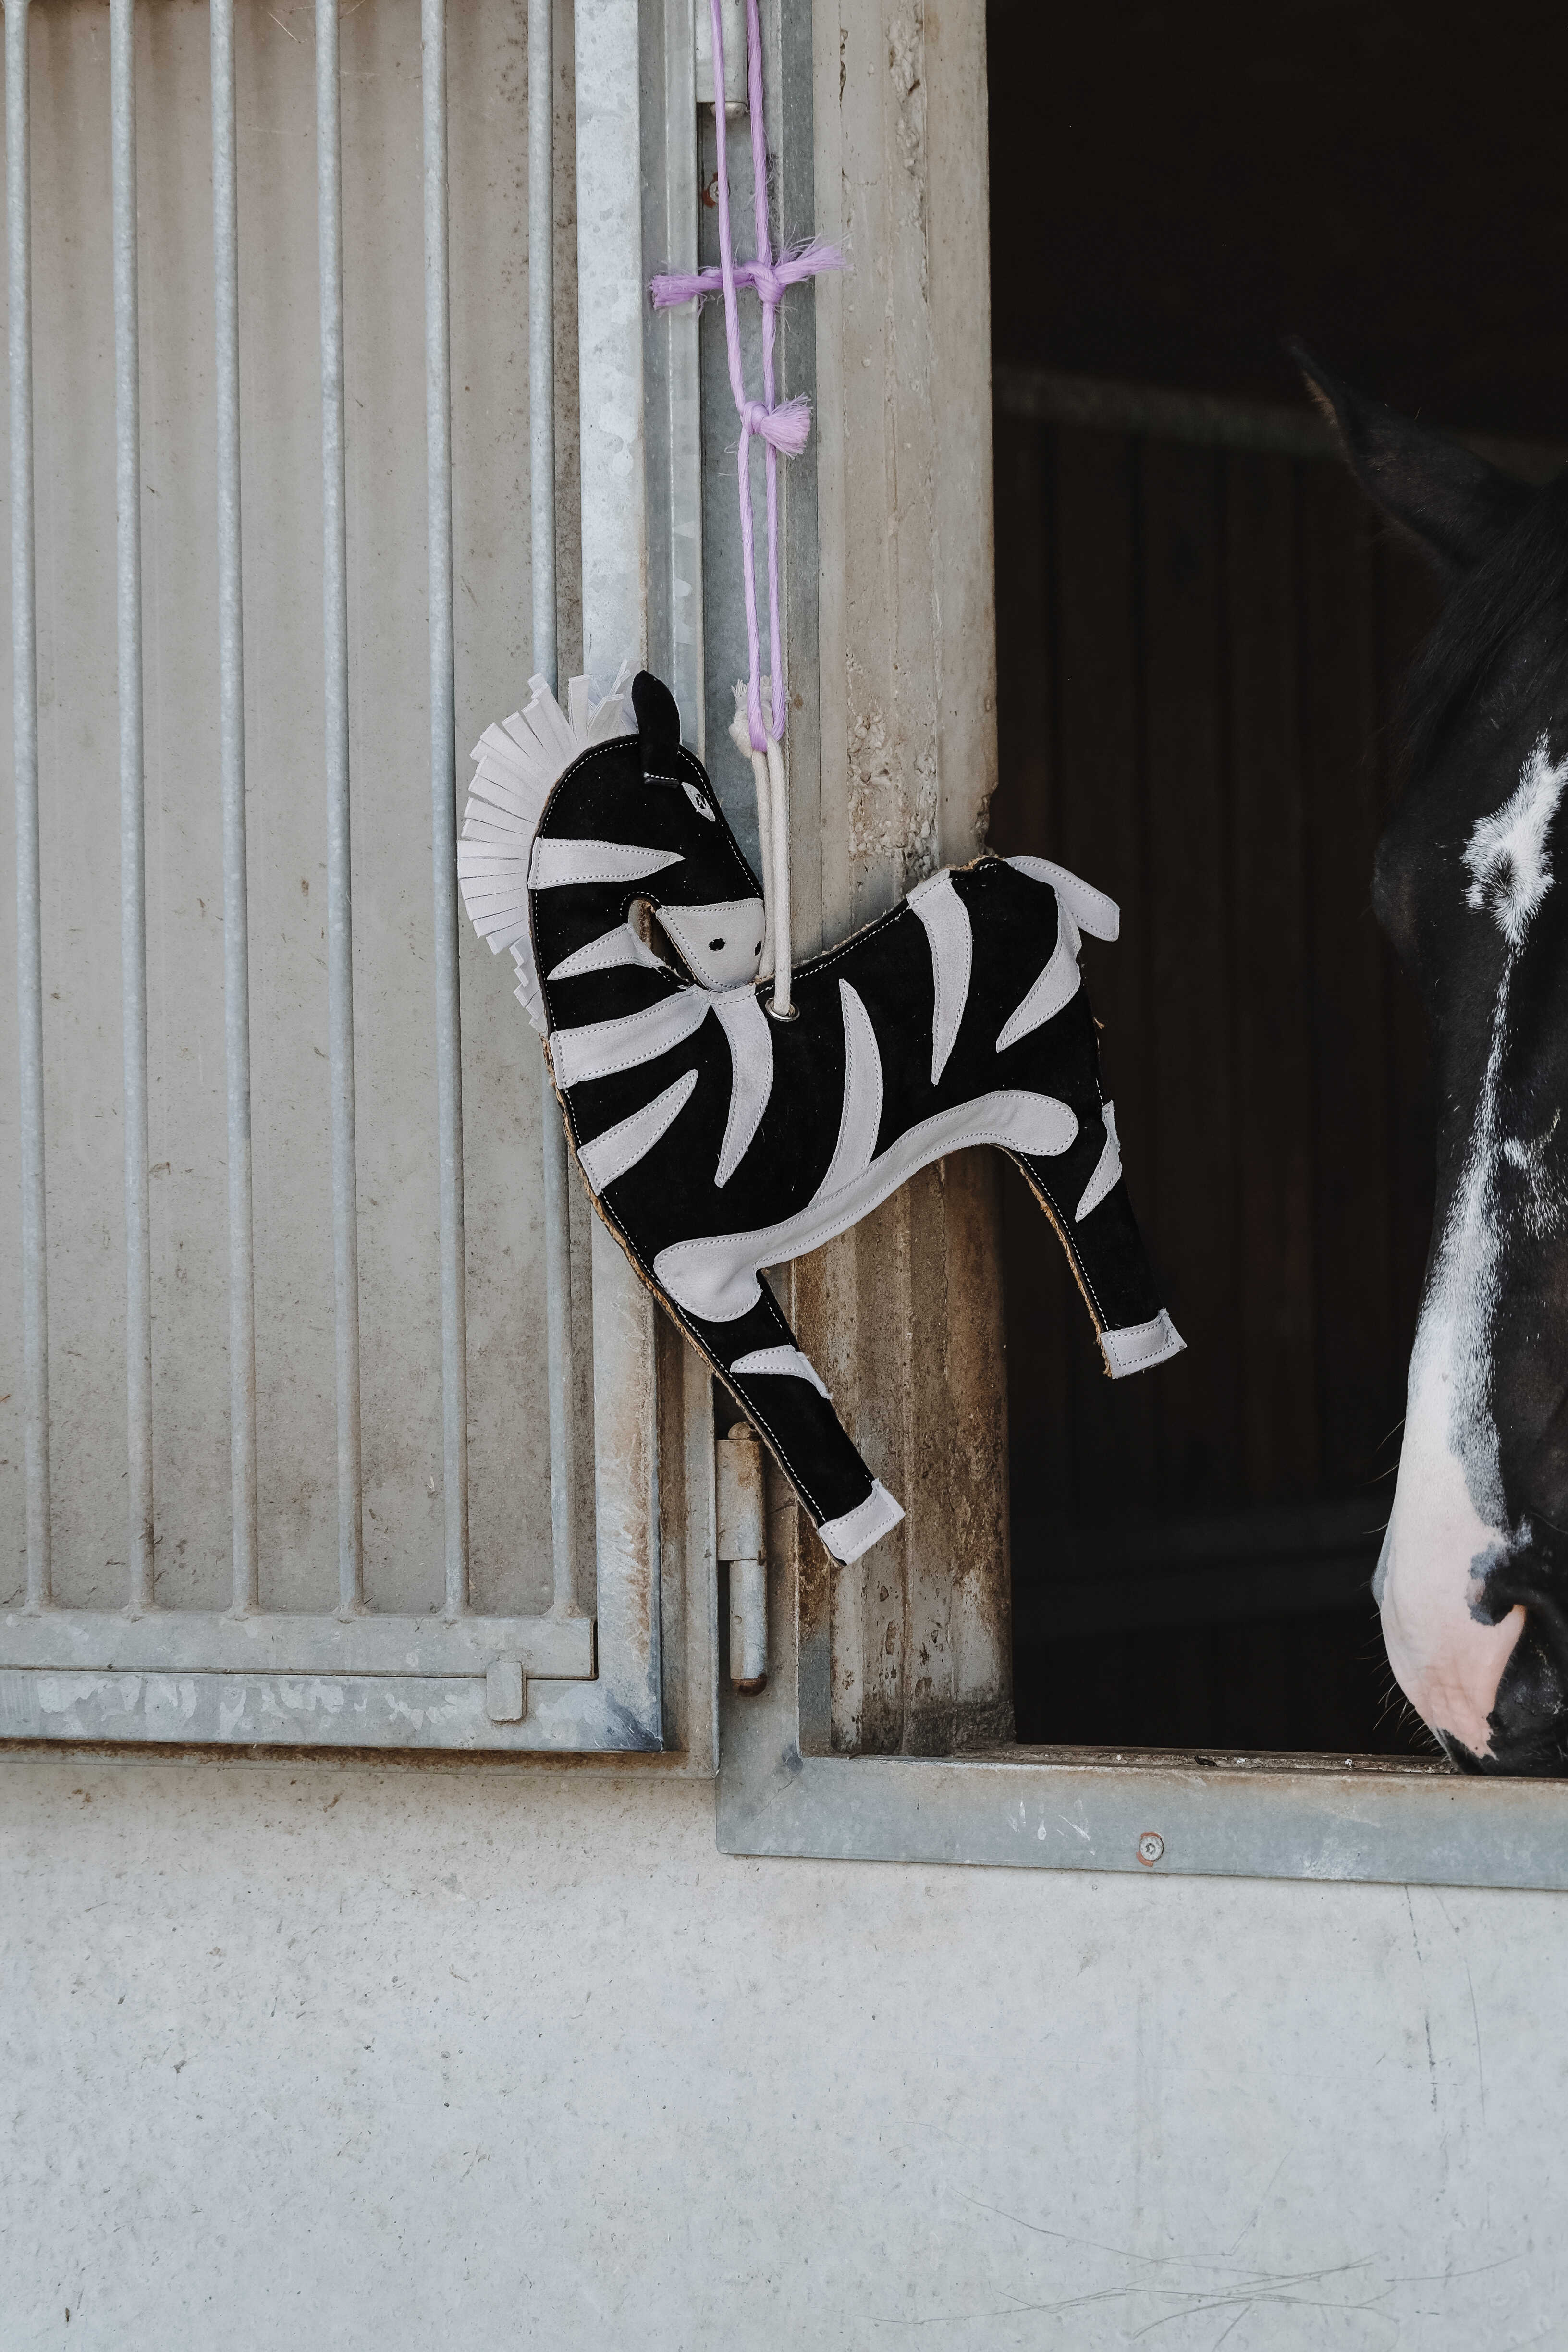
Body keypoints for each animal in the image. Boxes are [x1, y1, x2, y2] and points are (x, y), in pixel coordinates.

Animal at [459, 667, 1183, 1565]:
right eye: (697, 804)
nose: (748, 952)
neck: (641, 1036)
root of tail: (1006, 872)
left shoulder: (694, 1270)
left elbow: (791, 1407)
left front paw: (863, 1537)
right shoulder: (690, 1269)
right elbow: (787, 1400)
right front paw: (864, 1534)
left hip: (1061, 1096)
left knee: (1094, 1206)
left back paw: (1139, 1349)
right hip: (1040, 1107)